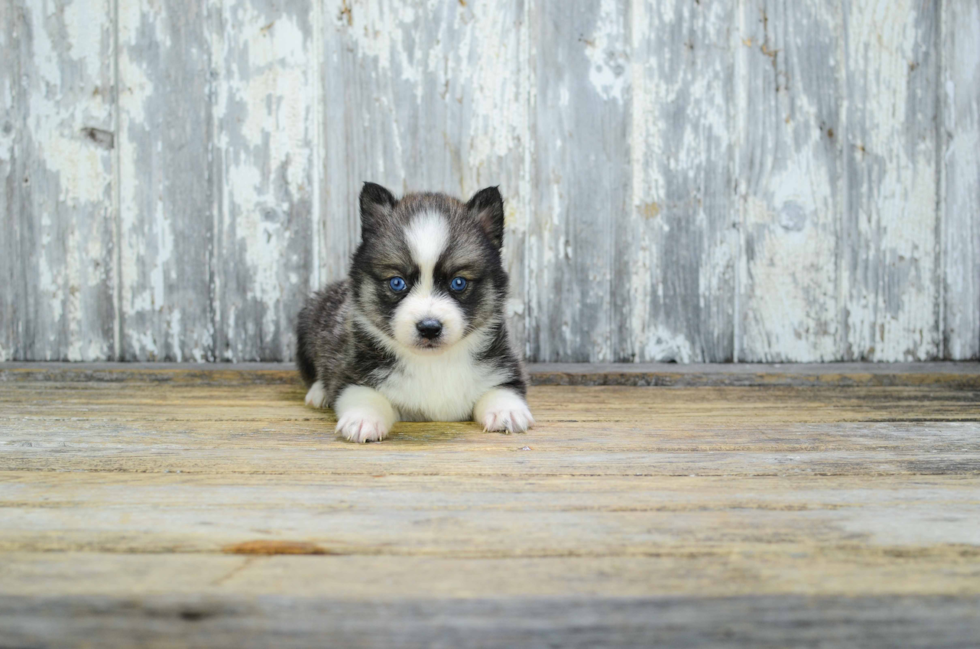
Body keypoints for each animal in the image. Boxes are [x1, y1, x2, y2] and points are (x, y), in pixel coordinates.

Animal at [294, 185, 532, 442]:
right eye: (397, 283)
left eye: (458, 283)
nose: (429, 328)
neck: (431, 362)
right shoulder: (350, 371)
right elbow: (363, 393)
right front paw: (363, 418)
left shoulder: (505, 366)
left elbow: (501, 388)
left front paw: (506, 410)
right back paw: (319, 392)